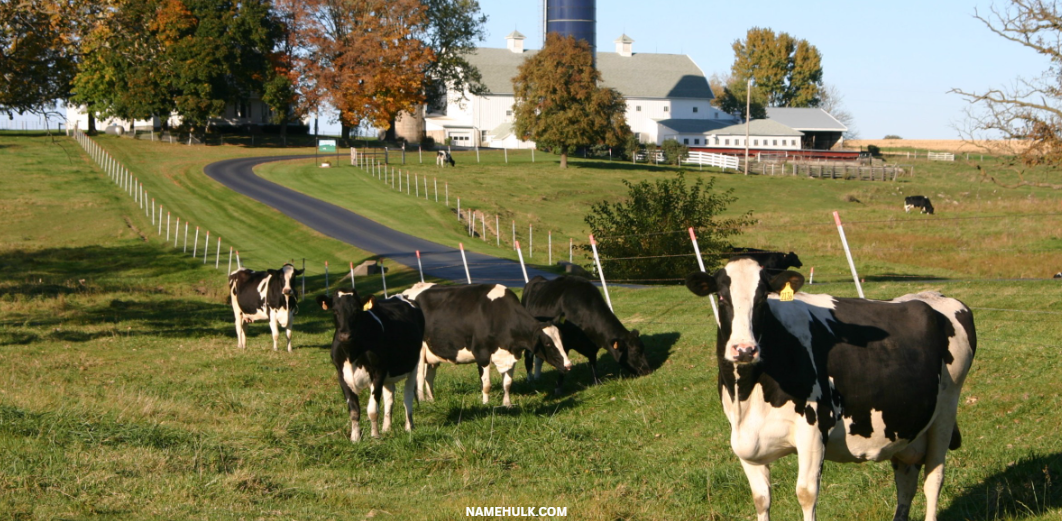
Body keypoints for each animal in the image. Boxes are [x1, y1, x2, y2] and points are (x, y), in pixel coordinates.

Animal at [316, 290, 424, 443]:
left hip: (414, 364)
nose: (345, 335)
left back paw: (409, 427)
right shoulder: (342, 376)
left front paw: (375, 436)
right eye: (335, 311)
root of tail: (400, 296)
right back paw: (387, 428)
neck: (351, 353)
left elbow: (373, 410)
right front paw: (355, 438)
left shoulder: (378, 372)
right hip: (388, 375)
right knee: (389, 397)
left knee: (407, 396)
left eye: (356, 311)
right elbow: (354, 410)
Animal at [401, 282, 573, 407]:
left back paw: (431, 400)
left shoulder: (511, 353)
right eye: (548, 344)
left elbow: (507, 383)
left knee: (429, 376)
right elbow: (486, 384)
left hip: (433, 351)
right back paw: (423, 401)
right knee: (419, 377)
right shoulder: (481, 353)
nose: (568, 365)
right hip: (420, 352)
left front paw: (507, 404)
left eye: (562, 340)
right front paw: (485, 404)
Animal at [520, 275, 649, 392]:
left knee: (538, 358)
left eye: (643, 349)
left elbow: (593, 364)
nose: (648, 370)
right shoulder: (563, 344)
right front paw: (558, 388)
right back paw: (530, 379)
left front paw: (596, 382)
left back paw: (538, 377)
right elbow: (563, 365)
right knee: (528, 356)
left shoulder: (592, 346)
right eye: (636, 352)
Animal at [683, 257, 972, 521]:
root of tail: (932, 296)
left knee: (934, 479)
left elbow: (806, 494)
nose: (744, 349)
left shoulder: (813, 430)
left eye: (763, 298)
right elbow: (761, 499)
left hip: (945, 413)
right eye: (721, 297)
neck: (747, 393)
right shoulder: (745, 440)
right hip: (906, 429)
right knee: (906, 482)